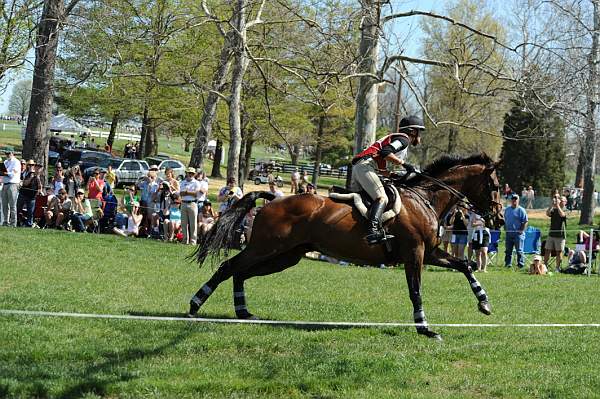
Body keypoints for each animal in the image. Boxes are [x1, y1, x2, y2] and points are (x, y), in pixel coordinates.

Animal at [189, 153, 506, 340]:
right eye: (494, 187)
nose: (500, 219)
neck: (425, 199)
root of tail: (273, 199)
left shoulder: (428, 253)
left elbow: (465, 265)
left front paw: (484, 303)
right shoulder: (414, 253)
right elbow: (416, 291)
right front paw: (425, 328)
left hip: (285, 256)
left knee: (240, 272)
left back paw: (244, 312)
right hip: (266, 248)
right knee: (229, 266)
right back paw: (195, 305)